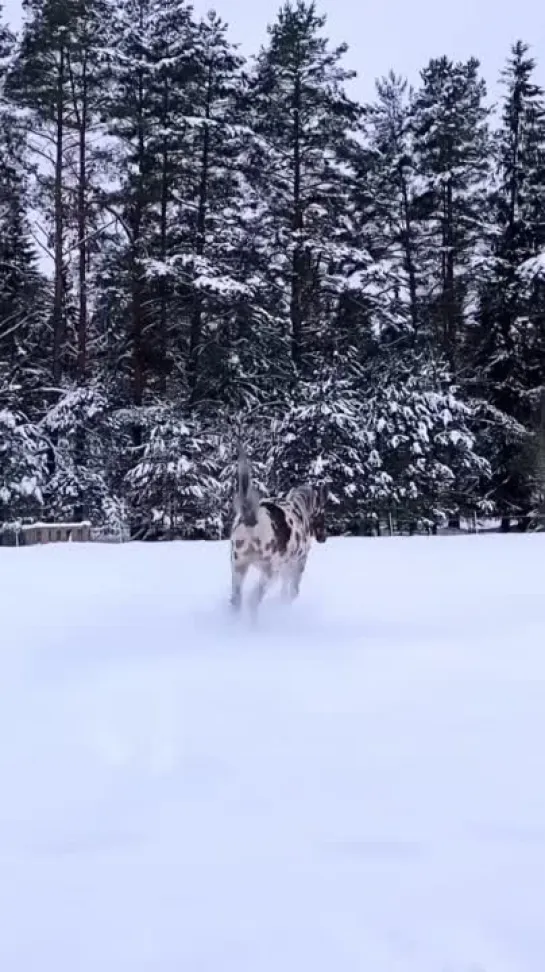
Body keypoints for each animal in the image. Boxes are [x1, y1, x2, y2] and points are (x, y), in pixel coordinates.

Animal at [227, 448, 326, 616]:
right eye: (324, 512)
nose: (323, 537)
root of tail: (251, 516)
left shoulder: (286, 567)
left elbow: (284, 591)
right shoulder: (298, 564)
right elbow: (293, 592)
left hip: (238, 566)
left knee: (236, 601)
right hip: (269, 571)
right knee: (253, 601)